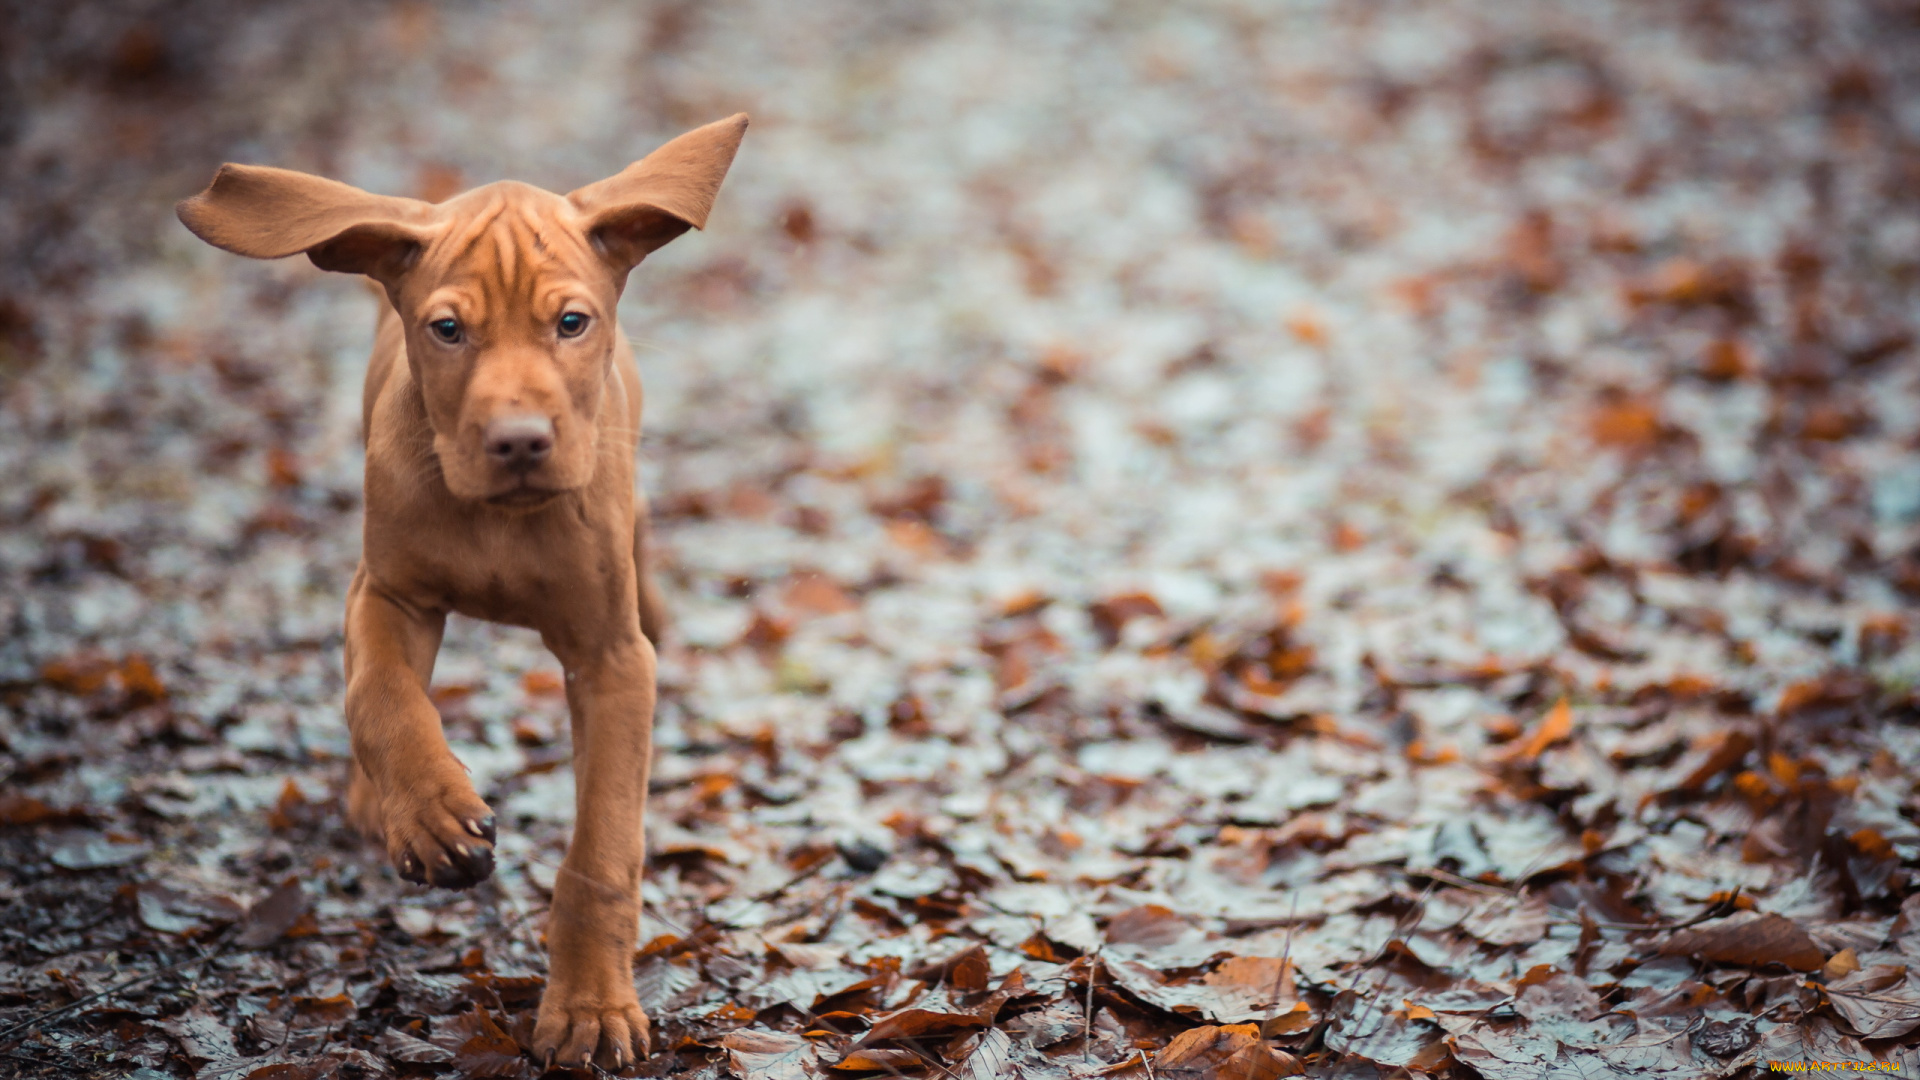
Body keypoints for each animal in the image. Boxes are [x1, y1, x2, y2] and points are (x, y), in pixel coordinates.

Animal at [178, 115, 748, 1060]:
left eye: (571, 322)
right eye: (447, 330)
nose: (518, 441)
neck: (499, 521)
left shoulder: (610, 659)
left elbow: (601, 851)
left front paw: (590, 1008)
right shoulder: (387, 595)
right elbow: (380, 697)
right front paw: (432, 815)